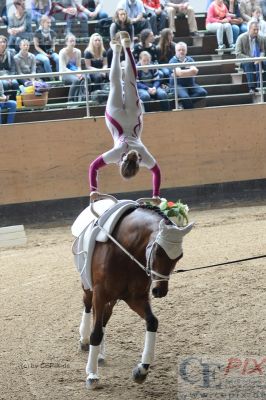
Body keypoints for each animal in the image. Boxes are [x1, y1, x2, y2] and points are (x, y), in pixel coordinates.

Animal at [72, 195, 193, 390]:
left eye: (179, 256)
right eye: (158, 251)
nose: (160, 290)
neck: (126, 251)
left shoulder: (135, 298)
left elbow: (152, 322)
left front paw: (141, 370)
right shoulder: (100, 294)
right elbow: (96, 332)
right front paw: (91, 374)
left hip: (112, 299)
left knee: (104, 317)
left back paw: (99, 355)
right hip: (88, 287)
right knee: (88, 307)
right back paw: (84, 341)